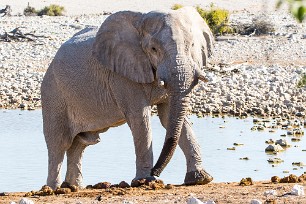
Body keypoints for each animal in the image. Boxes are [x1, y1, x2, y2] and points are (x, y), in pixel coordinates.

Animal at [40, 5, 214, 190]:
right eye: (154, 49)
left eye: (192, 45)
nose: (156, 171)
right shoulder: (122, 75)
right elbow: (140, 119)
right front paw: (144, 181)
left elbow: (169, 118)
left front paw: (200, 179)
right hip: (53, 92)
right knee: (59, 143)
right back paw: (52, 189)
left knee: (80, 143)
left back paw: (73, 187)